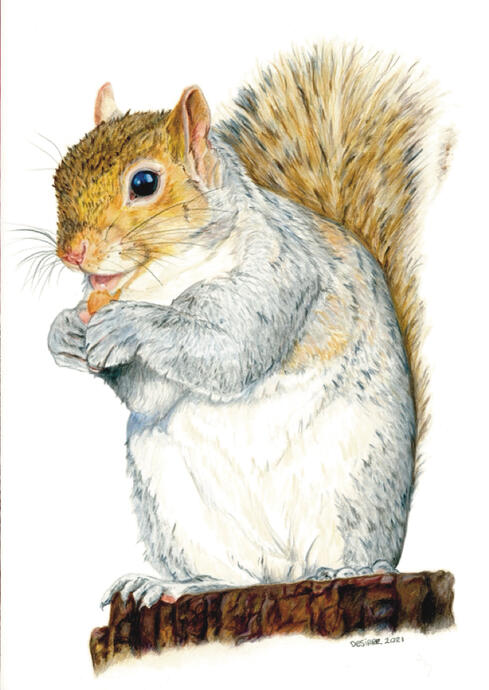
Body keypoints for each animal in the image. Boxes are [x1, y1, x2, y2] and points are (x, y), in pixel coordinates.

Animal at [48, 43, 451, 607]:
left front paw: (130, 324)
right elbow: (152, 395)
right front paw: (64, 331)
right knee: (230, 574)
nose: (71, 253)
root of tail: (284, 573)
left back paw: (350, 571)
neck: (168, 279)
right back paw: (172, 585)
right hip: (175, 506)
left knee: (355, 551)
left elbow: (231, 350)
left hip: (355, 488)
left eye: (144, 183)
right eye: (59, 176)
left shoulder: (284, 274)